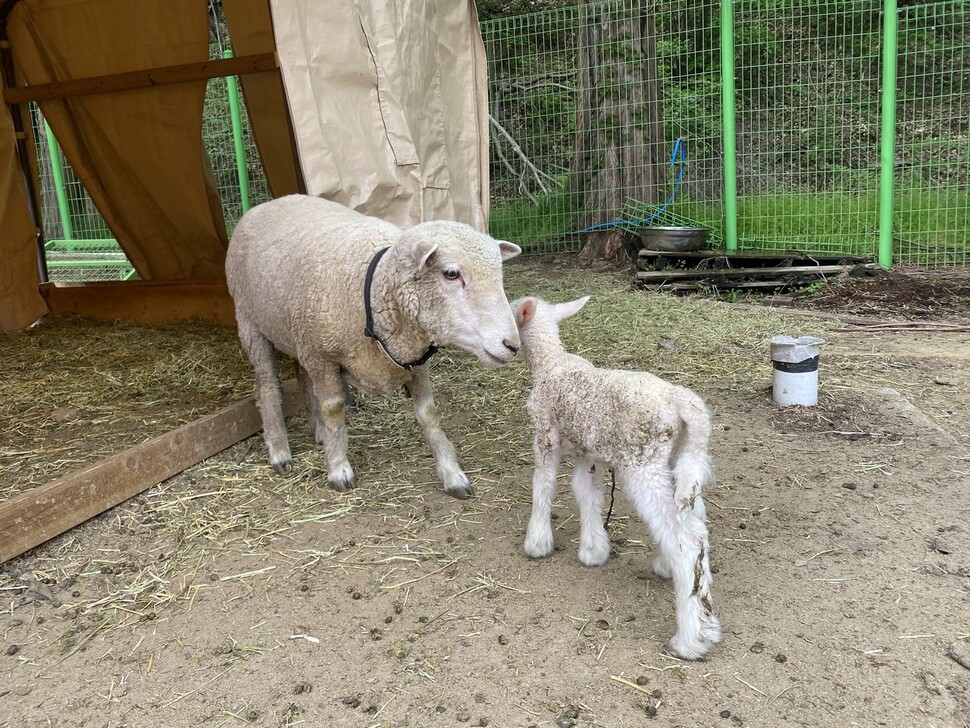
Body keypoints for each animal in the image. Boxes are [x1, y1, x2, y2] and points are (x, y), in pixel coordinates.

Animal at [226, 195, 520, 500]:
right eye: (451, 273)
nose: (512, 345)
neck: (375, 288)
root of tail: (268, 203)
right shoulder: (323, 356)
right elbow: (334, 409)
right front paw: (338, 468)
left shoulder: (416, 361)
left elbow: (429, 415)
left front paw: (452, 474)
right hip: (251, 323)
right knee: (267, 386)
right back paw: (279, 449)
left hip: (297, 334)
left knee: (302, 375)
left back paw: (318, 430)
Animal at [516, 294, 720, 660]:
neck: (550, 361)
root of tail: (680, 402)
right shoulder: (587, 452)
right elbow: (586, 492)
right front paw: (593, 550)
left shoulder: (545, 435)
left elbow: (543, 484)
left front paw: (537, 542)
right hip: (683, 458)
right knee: (695, 522)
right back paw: (692, 595)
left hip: (644, 464)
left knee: (686, 538)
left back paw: (691, 638)